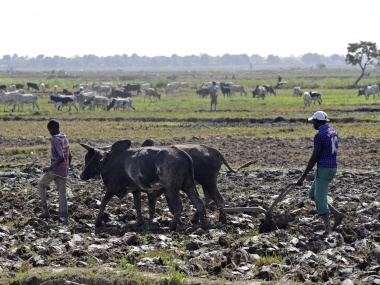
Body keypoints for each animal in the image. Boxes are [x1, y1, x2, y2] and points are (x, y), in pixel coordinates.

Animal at [79, 139, 208, 230]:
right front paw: (139, 222)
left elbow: (103, 202)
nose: (82, 175)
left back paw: (172, 227)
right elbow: (138, 205)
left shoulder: (112, 188)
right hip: (188, 186)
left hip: (172, 189)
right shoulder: (135, 189)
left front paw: (97, 222)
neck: (109, 159)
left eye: (89, 158)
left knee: (178, 207)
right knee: (199, 203)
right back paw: (203, 225)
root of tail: (184, 155)